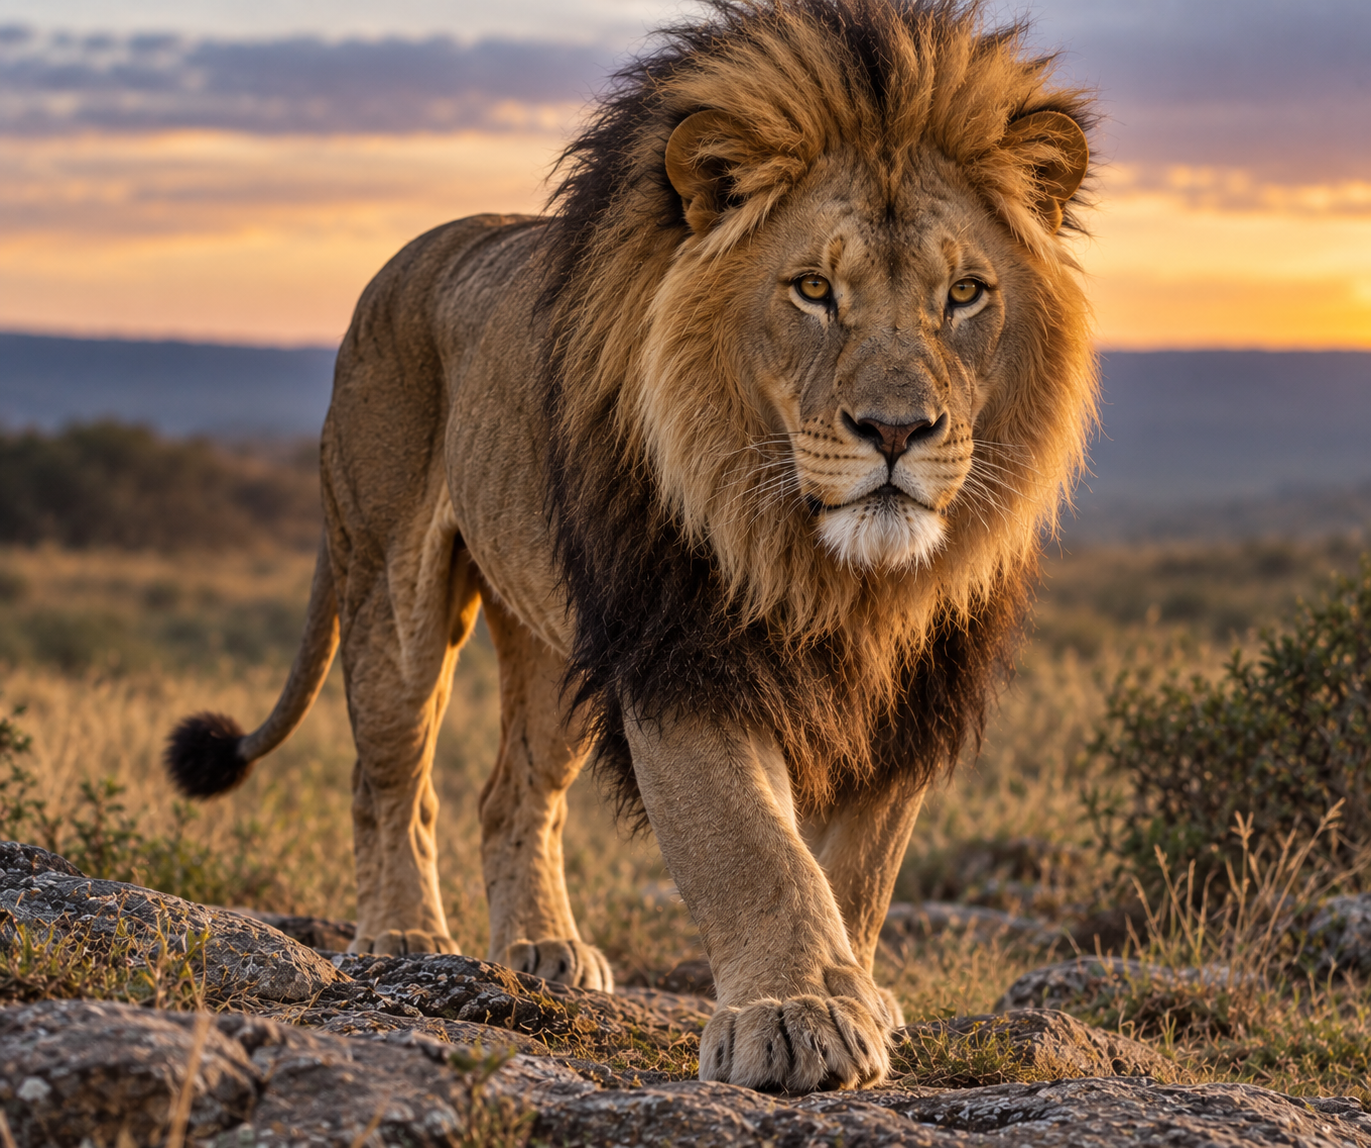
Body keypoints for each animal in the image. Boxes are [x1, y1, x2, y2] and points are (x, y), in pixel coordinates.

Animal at [165, 0, 1096, 1093]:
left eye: (965, 295)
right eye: (812, 289)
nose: (897, 430)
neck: (833, 570)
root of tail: (404, 261)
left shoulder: (911, 693)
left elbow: (857, 871)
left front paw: (855, 990)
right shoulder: (680, 651)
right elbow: (754, 847)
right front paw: (796, 1012)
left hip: (554, 641)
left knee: (511, 794)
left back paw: (544, 949)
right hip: (394, 589)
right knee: (390, 778)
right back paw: (401, 936)